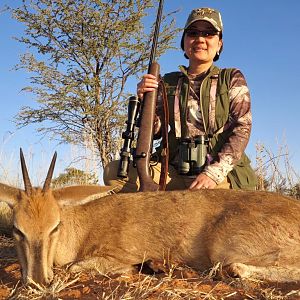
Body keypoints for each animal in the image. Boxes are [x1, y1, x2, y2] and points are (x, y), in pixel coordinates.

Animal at [0, 150, 300, 286]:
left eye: (55, 226)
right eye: (17, 229)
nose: (37, 280)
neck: (83, 227)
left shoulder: (115, 255)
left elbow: (75, 268)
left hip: (224, 249)